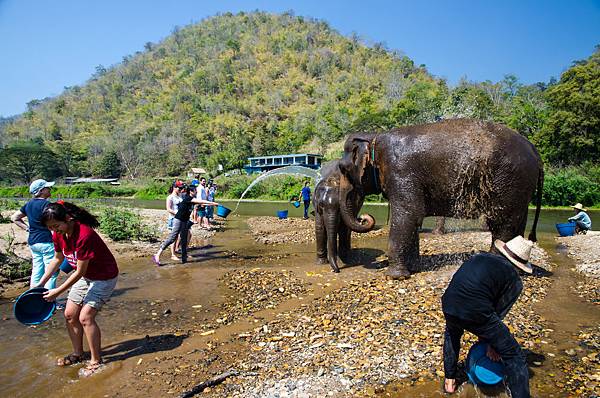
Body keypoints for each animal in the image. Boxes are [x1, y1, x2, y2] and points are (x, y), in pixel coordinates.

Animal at [338, 118, 544, 280]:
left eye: (343, 168)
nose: (364, 218)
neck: (375, 137)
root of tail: (535, 151)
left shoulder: (401, 171)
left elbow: (408, 215)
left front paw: (395, 277)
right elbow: (414, 219)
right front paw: (414, 269)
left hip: (509, 181)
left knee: (503, 224)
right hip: (520, 188)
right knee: (517, 223)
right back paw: (518, 272)